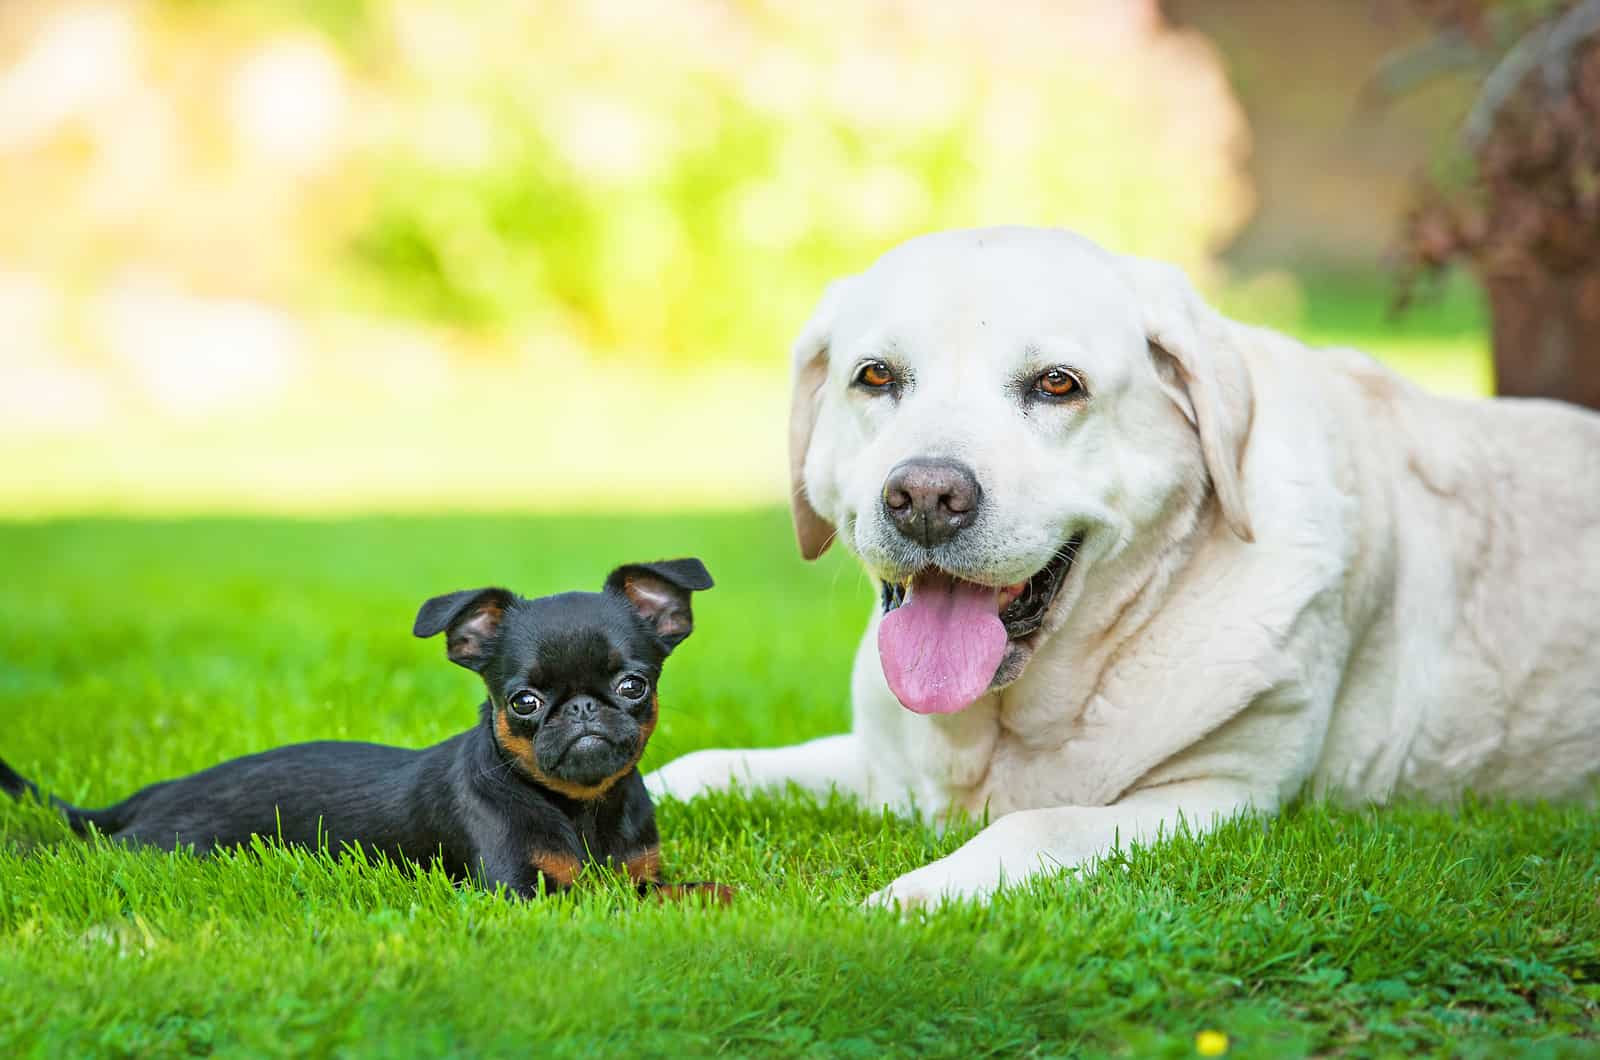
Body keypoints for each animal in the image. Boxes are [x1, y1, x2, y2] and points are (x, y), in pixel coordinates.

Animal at [0, 560, 726, 903]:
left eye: (633, 686)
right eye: (523, 701)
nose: (580, 711)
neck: (579, 808)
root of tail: (158, 792)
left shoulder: (636, 872)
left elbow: (673, 888)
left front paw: (733, 895)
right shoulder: (524, 895)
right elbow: (625, 903)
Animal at [646, 225, 1600, 915]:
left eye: (1056, 385)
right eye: (874, 376)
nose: (923, 497)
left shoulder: (1224, 796)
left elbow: (1043, 826)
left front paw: (909, 898)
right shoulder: (884, 771)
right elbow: (710, 766)